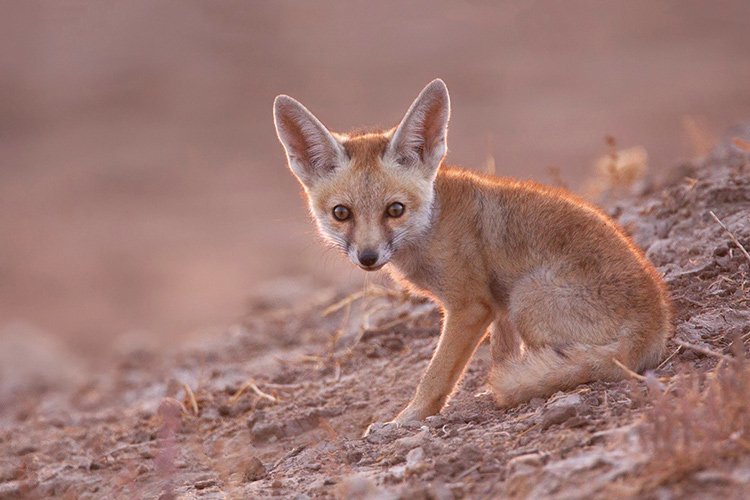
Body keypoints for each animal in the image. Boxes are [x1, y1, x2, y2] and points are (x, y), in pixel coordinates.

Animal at [274, 79, 672, 426]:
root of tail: (656, 321)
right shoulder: (497, 304)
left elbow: (435, 376)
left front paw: (408, 420)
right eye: (342, 213)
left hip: (526, 299)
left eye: (395, 209)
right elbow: (502, 353)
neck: (431, 226)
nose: (368, 257)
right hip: (518, 301)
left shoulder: (470, 307)